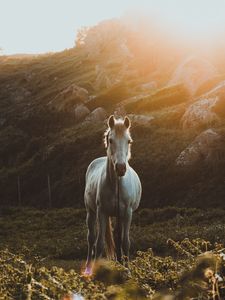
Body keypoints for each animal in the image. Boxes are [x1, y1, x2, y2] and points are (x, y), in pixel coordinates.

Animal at [83, 115, 142, 274]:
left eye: (129, 141)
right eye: (110, 140)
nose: (121, 168)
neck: (116, 185)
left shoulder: (127, 213)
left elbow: (125, 242)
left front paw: (127, 270)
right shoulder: (101, 212)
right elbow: (99, 244)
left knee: (117, 238)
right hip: (91, 212)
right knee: (91, 238)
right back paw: (88, 268)